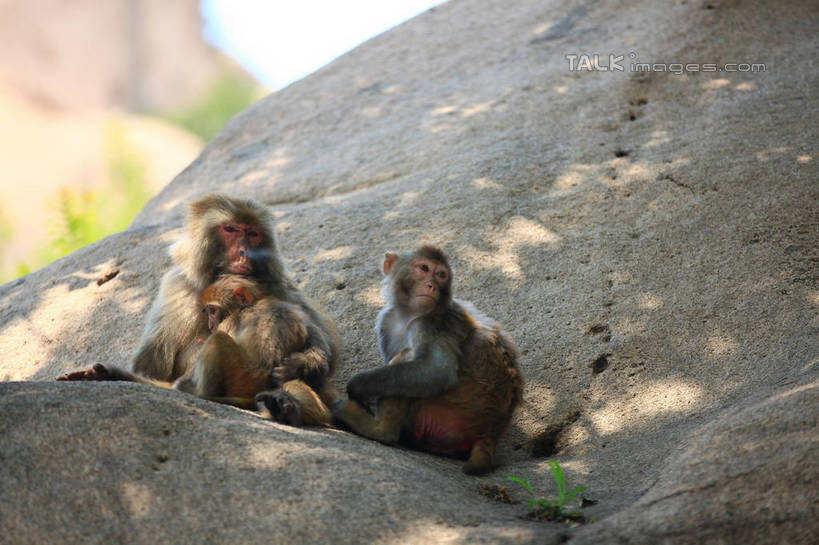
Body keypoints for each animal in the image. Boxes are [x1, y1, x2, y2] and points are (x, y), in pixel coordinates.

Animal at [57, 193, 338, 428]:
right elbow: (151, 368)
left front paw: (304, 363)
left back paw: (288, 406)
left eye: (253, 233)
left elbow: (320, 343)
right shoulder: (176, 289)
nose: (246, 252)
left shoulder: (280, 285)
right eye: (230, 229)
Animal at [334, 244, 524, 474]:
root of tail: (491, 433)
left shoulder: (431, 323)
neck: (409, 315)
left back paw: (378, 429)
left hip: (449, 414)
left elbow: (436, 370)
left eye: (441, 275)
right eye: (423, 268)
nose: (432, 285)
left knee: (407, 356)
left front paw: (357, 386)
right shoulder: (386, 320)